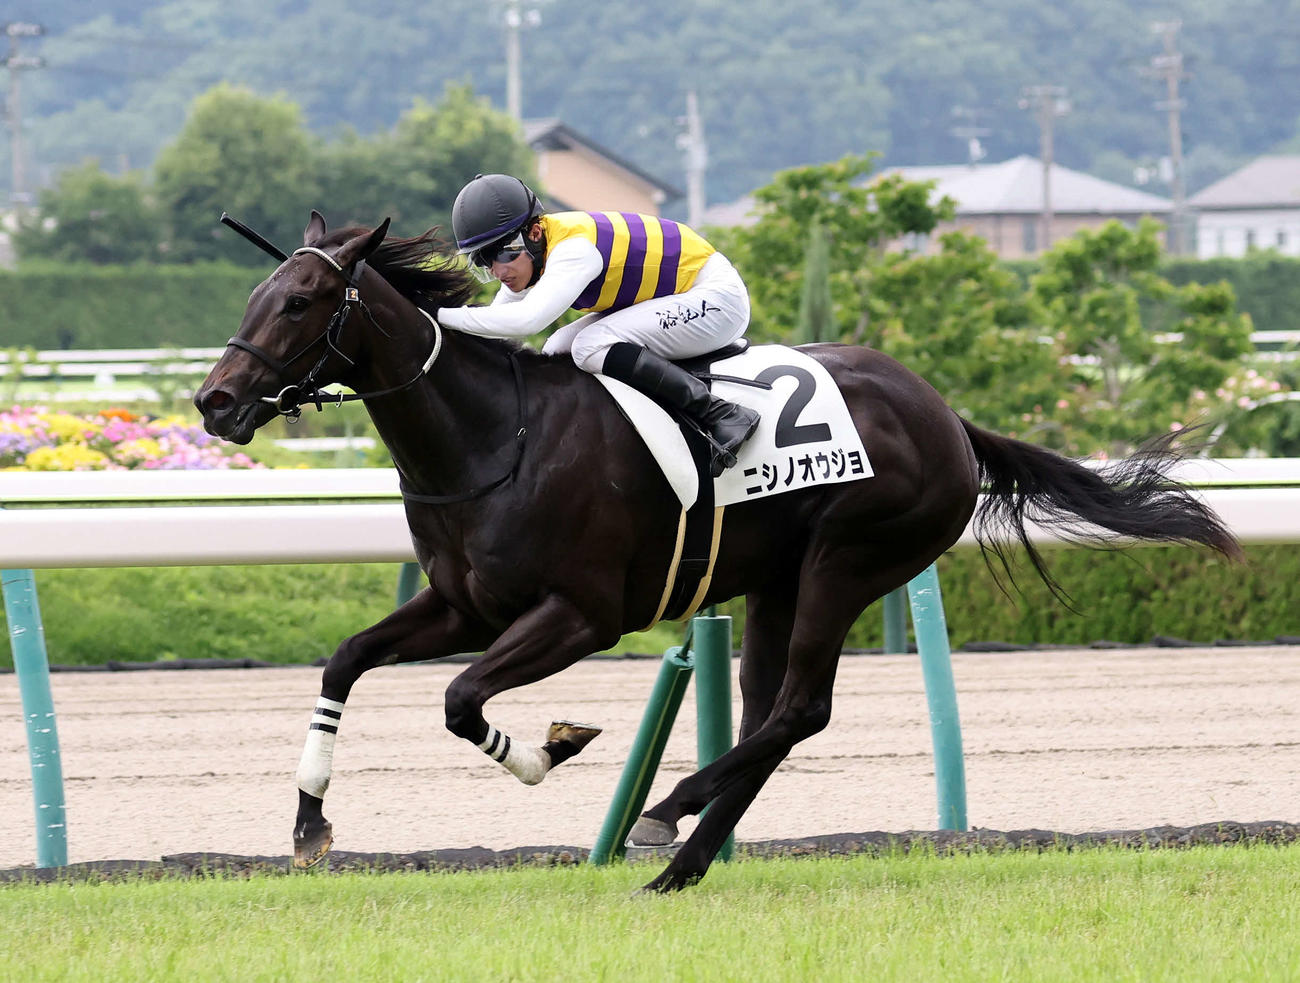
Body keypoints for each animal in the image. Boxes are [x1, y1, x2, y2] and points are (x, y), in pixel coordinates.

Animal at [194, 212, 1241, 893]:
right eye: (254, 293)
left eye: (303, 300)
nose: (215, 401)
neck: (495, 435)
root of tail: (947, 416)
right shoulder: (461, 605)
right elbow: (346, 662)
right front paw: (309, 824)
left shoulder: (581, 614)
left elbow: (460, 701)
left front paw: (551, 749)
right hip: (777, 583)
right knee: (773, 712)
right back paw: (687, 858)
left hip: (848, 562)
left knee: (801, 708)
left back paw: (668, 811)